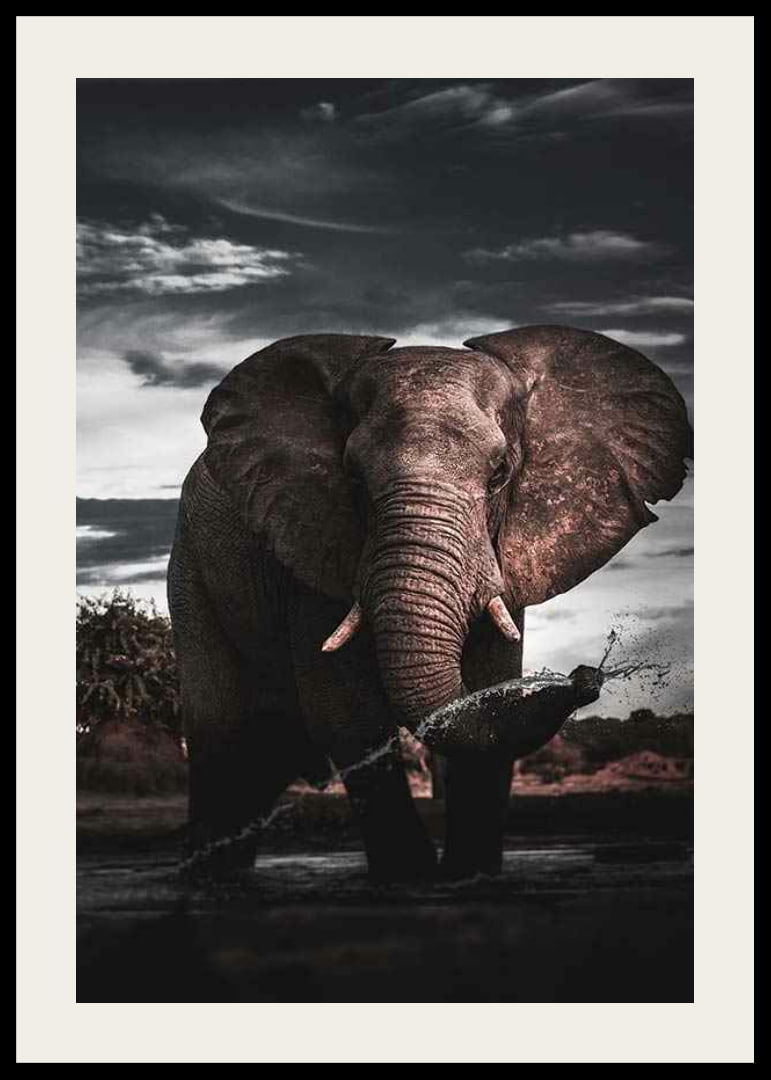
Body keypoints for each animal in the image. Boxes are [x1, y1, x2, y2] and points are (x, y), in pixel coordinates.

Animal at [167, 326, 692, 881]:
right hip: (191, 569)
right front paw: (411, 878)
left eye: (500, 474)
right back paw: (208, 880)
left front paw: (470, 875)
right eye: (352, 477)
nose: (587, 676)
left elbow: (488, 687)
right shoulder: (312, 544)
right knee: (221, 733)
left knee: (269, 748)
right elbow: (346, 713)